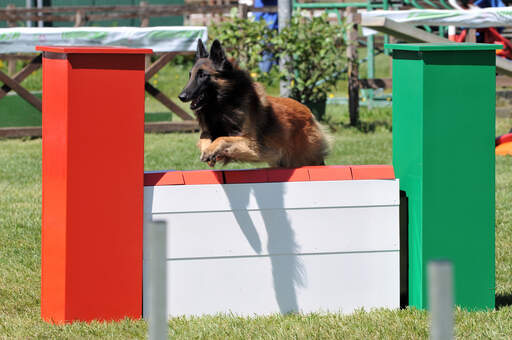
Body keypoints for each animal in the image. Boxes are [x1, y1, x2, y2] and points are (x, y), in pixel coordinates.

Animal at [177, 39, 328, 168]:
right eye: (190, 75)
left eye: (202, 75)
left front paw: (211, 149)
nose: (181, 96)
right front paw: (208, 151)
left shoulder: (251, 145)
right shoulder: (208, 131)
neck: (222, 106)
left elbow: (222, 138)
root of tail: (308, 111)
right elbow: (205, 139)